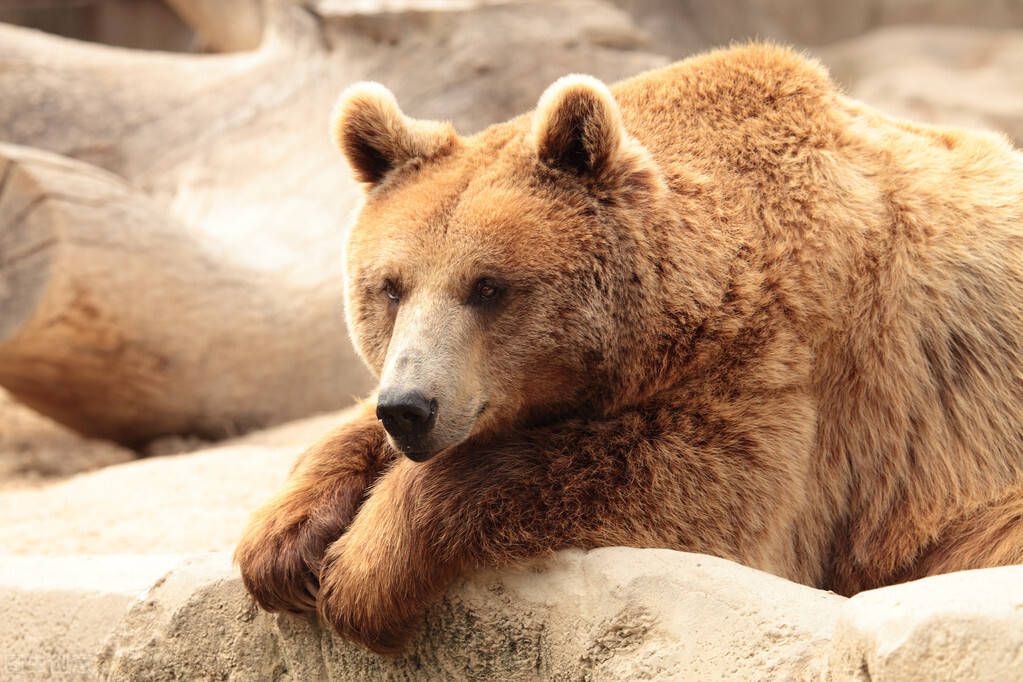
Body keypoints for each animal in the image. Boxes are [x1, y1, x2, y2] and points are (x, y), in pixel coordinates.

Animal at [235, 43, 1023, 654]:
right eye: (390, 287)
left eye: (487, 286)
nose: (410, 407)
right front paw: (281, 538)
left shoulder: (794, 384)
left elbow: (685, 484)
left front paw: (362, 570)